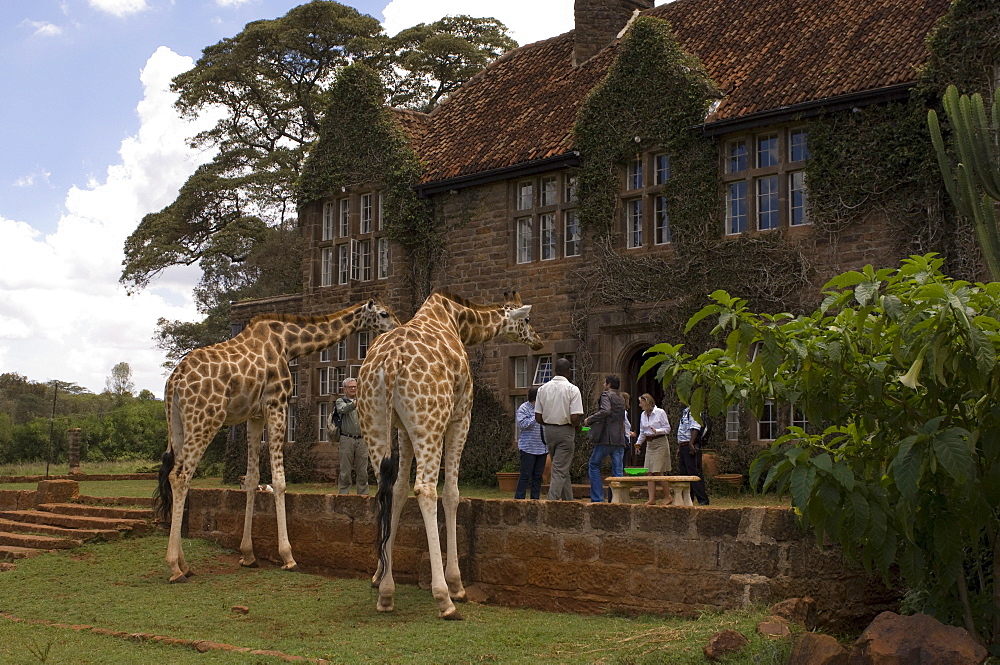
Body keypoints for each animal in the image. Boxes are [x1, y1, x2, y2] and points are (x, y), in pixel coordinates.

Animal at [154, 298, 396, 584]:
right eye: (384, 313)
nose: (397, 327)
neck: (288, 343)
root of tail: (174, 381)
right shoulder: (277, 404)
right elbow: (279, 481)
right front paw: (288, 557)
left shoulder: (255, 416)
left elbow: (252, 480)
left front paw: (248, 555)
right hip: (205, 418)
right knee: (181, 476)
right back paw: (174, 567)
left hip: (178, 425)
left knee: (176, 475)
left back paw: (184, 565)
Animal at [360, 290, 544, 616]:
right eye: (526, 319)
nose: (537, 340)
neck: (458, 319)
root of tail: (391, 362)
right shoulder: (461, 416)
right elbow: (452, 493)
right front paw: (456, 584)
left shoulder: (403, 429)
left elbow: (398, 490)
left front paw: (381, 579)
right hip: (430, 422)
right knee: (426, 489)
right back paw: (444, 598)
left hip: (375, 422)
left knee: (384, 488)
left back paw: (386, 594)